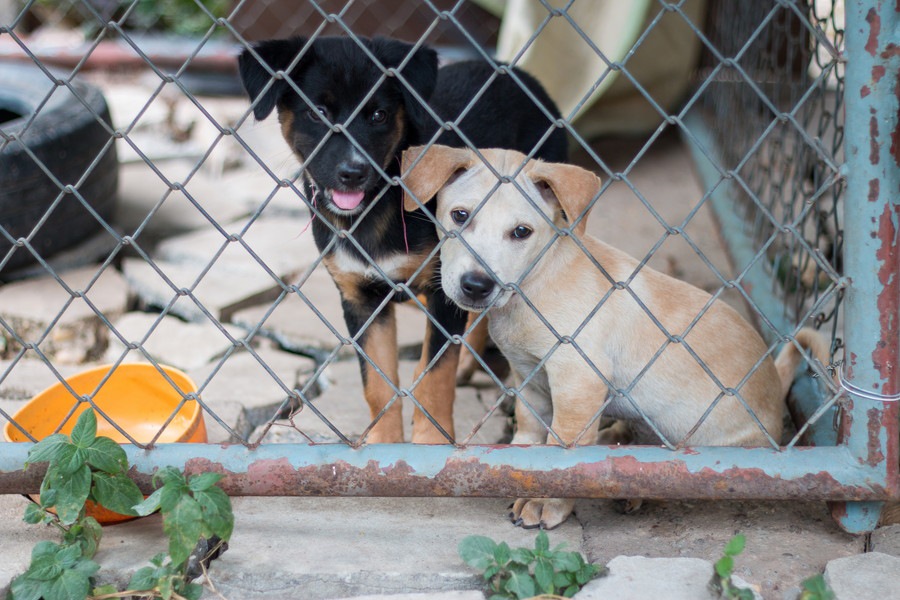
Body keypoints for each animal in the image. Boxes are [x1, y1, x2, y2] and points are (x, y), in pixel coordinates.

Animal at [236, 36, 568, 440]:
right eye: (317, 113)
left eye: (379, 115)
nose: (353, 172)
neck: (377, 208)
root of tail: (517, 74)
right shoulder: (361, 298)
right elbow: (378, 383)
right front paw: (384, 439)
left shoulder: (444, 289)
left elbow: (435, 376)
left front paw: (431, 439)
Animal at [404, 145, 828, 528]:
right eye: (460, 215)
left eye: (521, 232)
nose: (476, 285)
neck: (536, 282)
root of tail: (774, 384)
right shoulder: (528, 381)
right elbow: (529, 434)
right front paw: (511, 469)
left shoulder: (577, 381)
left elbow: (563, 453)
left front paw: (545, 501)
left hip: (717, 445)